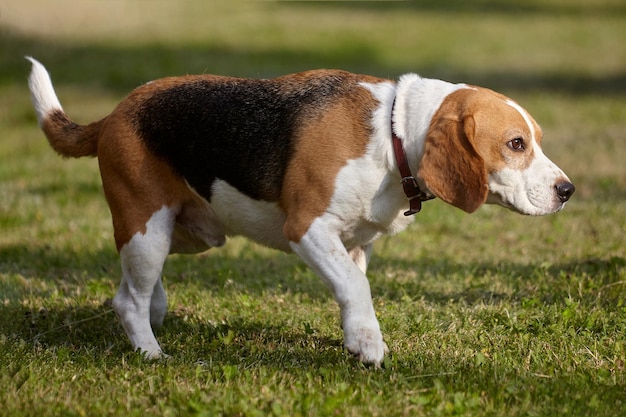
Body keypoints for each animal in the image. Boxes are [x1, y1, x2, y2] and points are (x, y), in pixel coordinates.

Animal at [26, 57, 572, 364]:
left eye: (537, 139)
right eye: (516, 144)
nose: (567, 190)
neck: (393, 133)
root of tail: (113, 114)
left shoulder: (354, 244)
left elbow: (353, 289)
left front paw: (356, 337)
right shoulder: (307, 229)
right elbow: (357, 288)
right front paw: (370, 347)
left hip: (187, 233)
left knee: (136, 288)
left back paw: (155, 315)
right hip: (147, 227)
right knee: (127, 300)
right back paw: (150, 353)